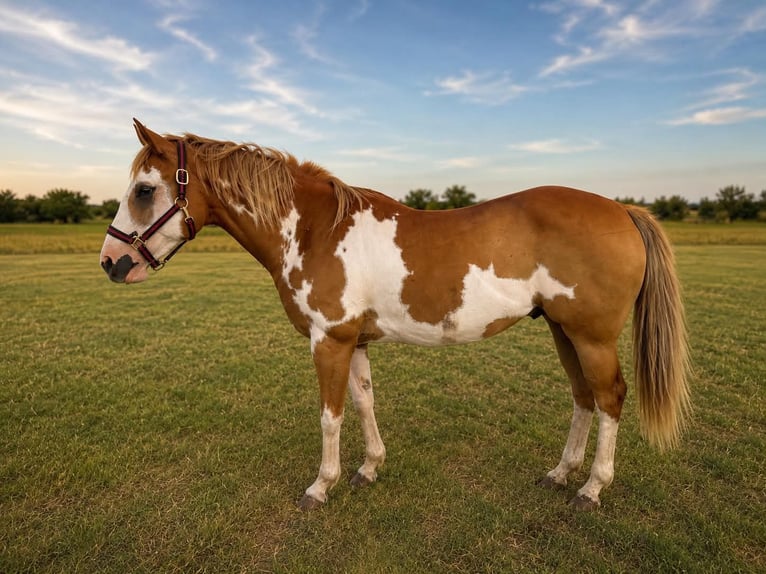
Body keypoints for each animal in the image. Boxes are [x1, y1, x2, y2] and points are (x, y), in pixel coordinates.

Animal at [100, 119, 691, 511]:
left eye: (145, 189)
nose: (111, 263)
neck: (313, 230)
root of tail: (622, 210)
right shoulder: (354, 341)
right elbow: (363, 403)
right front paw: (368, 469)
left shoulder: (329, 340)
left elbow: (330, 415)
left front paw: (321, 486)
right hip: (563, 331)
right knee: (584, 397)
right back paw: (561, 474)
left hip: (592, 337)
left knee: (611, 399)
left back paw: (592, 488)